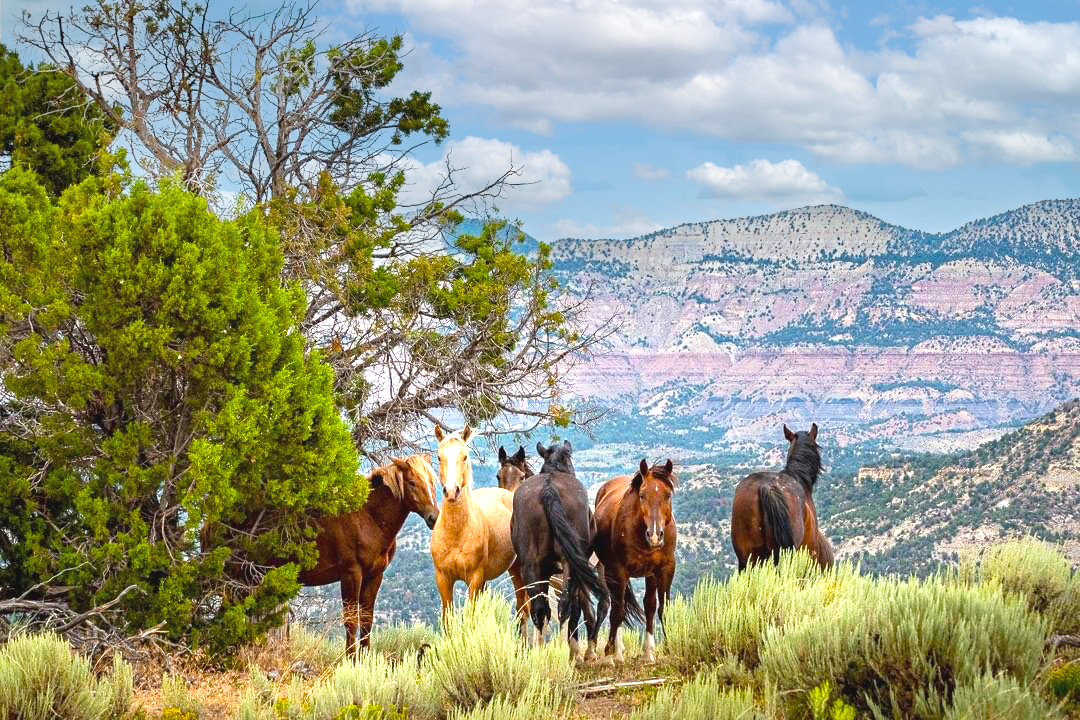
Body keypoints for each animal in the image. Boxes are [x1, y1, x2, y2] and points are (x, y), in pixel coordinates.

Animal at [430, 426, 528, 625]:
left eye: (465, 456)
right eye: (439, 457)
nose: (451, 491)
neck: (456, 533)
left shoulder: (474, 578)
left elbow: (471, 617)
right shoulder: (443, 579)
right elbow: (448, 620)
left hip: (520, 569)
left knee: (525, 608)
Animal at [510, 440, 608, 662]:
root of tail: (549, 488)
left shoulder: (544, 573)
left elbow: (545, 609)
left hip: (530, 566)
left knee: (539, 609)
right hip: (570, 565)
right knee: (567, 605)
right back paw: (568, 652)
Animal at [593, 459, 676, 664]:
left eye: (668, 495)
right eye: (642, 495)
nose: (654, 535)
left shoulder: (665, 569)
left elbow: (659, 608)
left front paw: (657, 650)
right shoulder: (619, 571)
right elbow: (617, 612)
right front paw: (610, 653)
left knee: (646, 605)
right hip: (608, 571)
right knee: (617, 606)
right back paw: (614, 652)